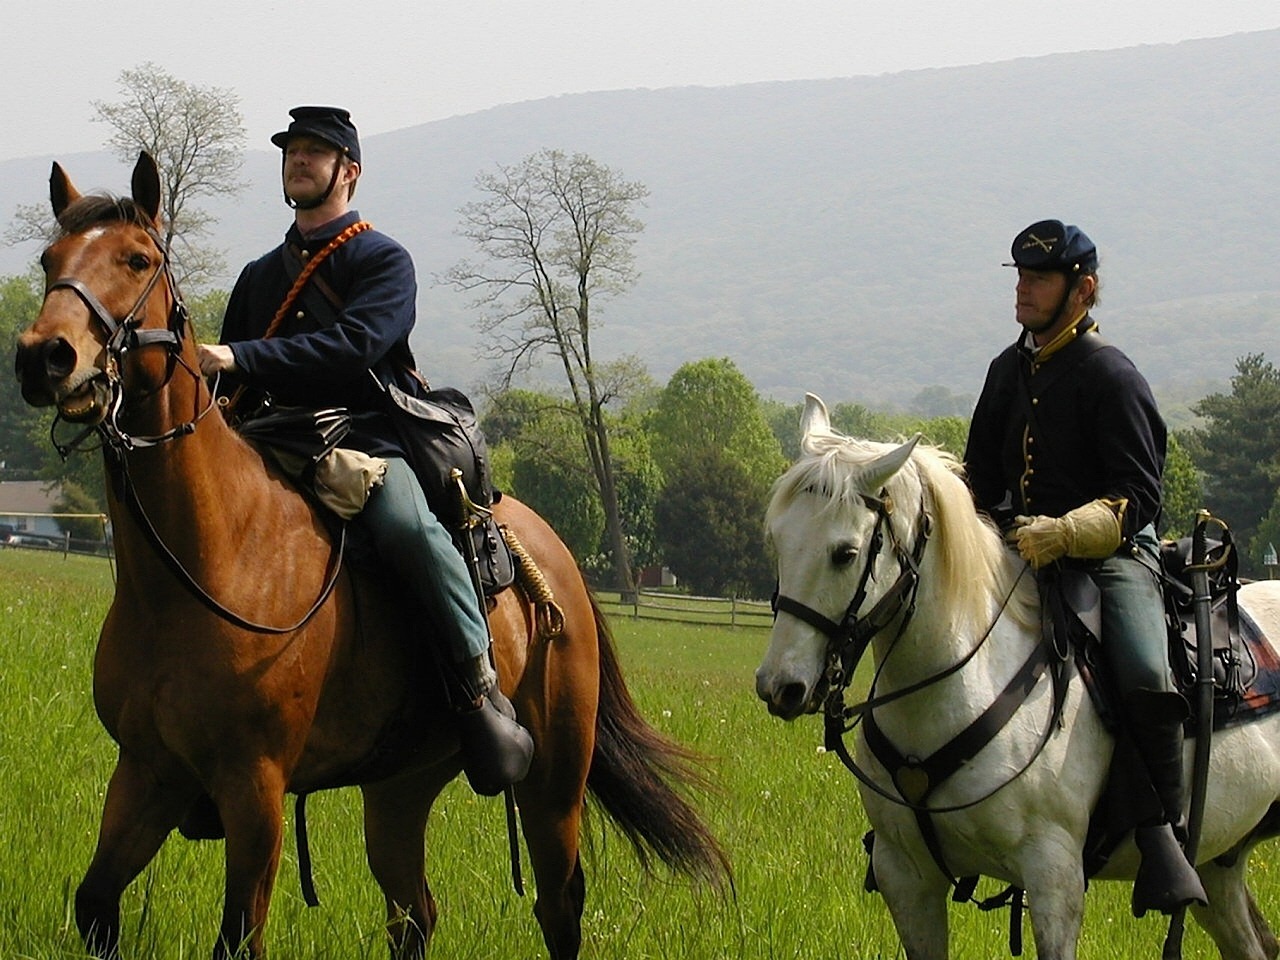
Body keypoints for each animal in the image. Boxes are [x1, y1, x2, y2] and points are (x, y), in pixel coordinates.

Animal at [12, 152, 732, 960]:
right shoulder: (146, 773)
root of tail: (559, 564)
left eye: (137, 259)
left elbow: (238, 936)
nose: (46, 356)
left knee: (558, 909)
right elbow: (95, 902)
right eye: (49, 260)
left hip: (553, 787)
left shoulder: (254, 791)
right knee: (414, 913)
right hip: (401, 785)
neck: (197, 568)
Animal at [752, 391, 1280, 960]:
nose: (780, 686)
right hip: (1220, 864)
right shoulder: (907, 878)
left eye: (845, 553)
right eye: (777, 542)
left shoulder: (1053, 879)